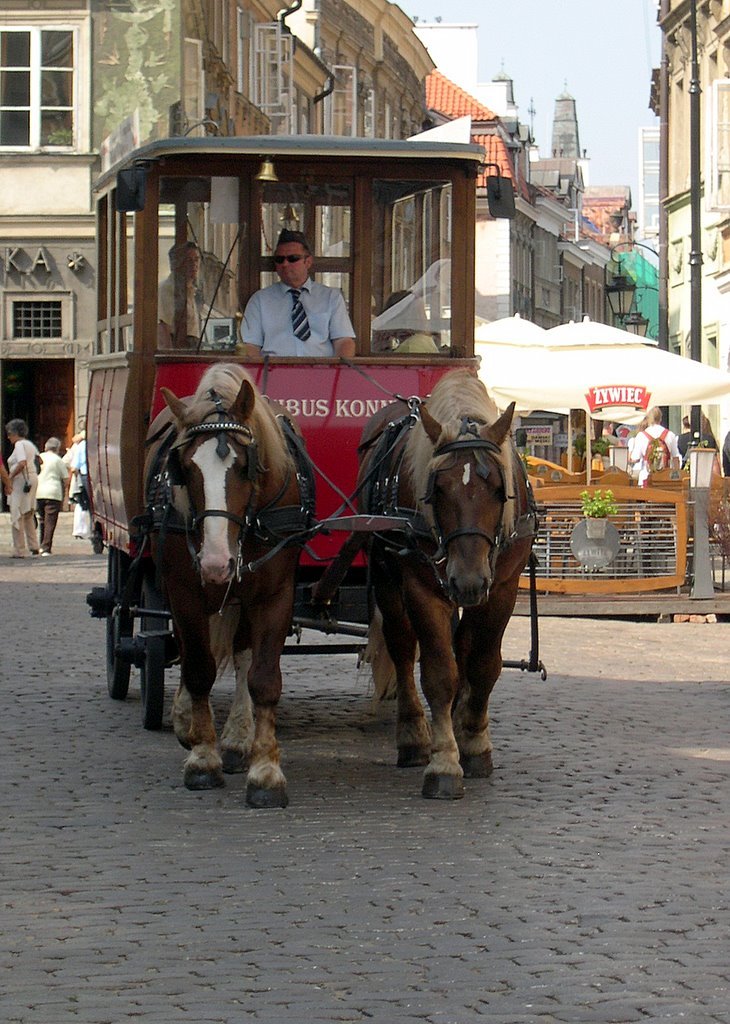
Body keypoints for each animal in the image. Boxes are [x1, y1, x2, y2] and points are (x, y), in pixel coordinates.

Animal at [152, 364, 311, 802]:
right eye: (185, 468)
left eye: (245, 467)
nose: (215, 563)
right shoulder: (184, 591)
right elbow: (198, 668)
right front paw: (203, 758)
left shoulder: (275, 593)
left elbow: (263, 677)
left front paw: (265, 770)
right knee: (189, 650)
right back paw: (186, 719)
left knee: (241, 655)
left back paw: (239, 738)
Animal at [358, 368, 536, 798]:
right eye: (437, 488)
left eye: (499, 489)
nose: (468, 580)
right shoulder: (423, 590)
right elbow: (439, 673)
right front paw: (443, 762)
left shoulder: (501, 589)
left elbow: (484, 665)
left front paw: (474, 742)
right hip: (389, 579)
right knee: (402, 648)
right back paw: (413, 736)